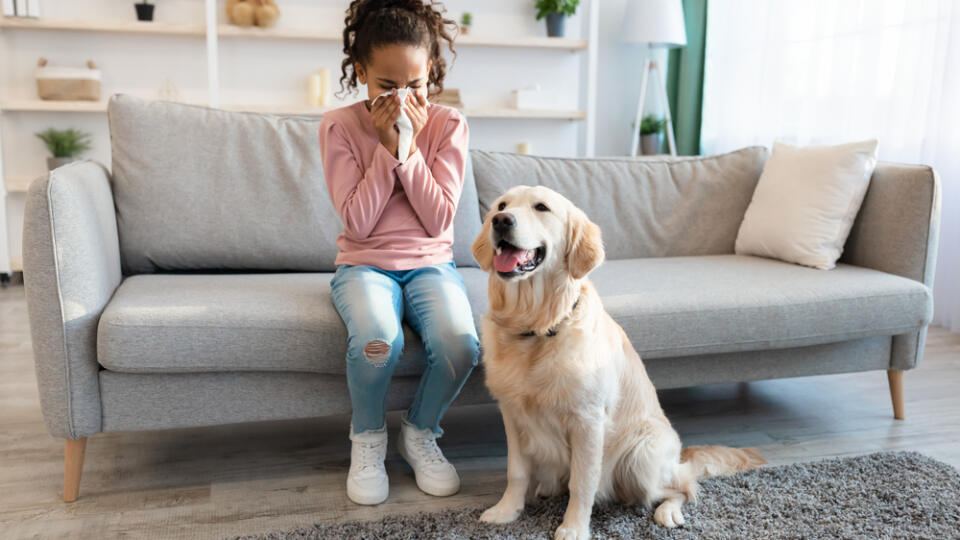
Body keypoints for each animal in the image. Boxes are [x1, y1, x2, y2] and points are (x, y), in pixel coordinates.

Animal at [472, 187, 764, 540]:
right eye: (501, 206)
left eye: (541, 207)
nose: (501, 221)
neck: (536, 327)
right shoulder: (513, 414)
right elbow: (516, 471)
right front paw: (507, 510)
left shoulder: (588, 420)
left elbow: (582, 482)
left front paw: (573, 528)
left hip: (640, 458)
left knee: (683, 486)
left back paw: (668, 511)